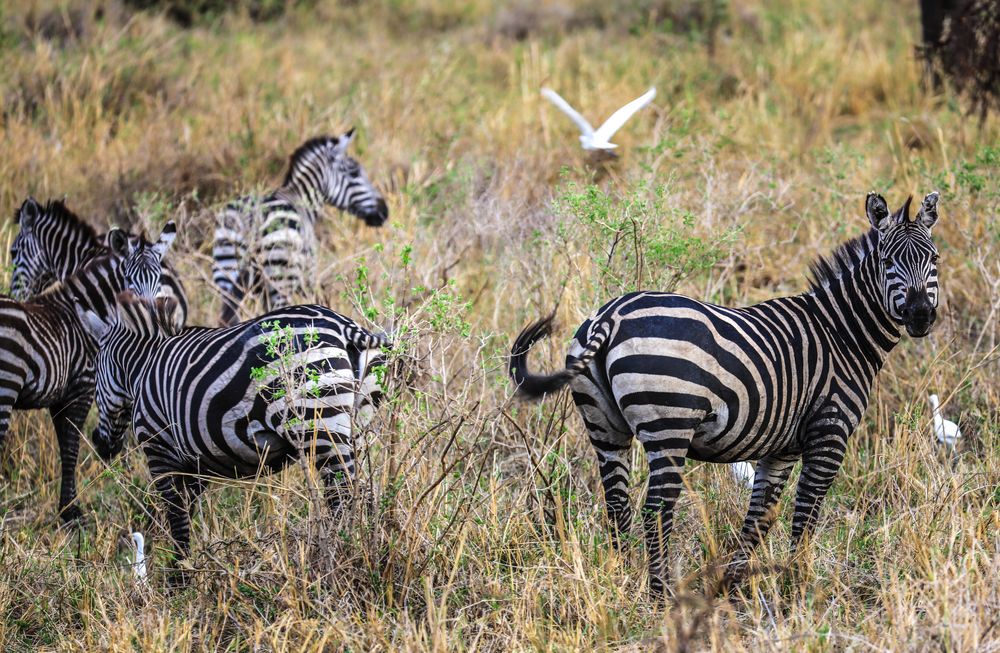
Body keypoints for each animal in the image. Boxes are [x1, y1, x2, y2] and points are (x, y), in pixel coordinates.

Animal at [0, 201, 176, 524]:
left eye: (159, 278)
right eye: (128, 280)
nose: (151, 319)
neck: (81, 312)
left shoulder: (67, 395)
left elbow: (69, 447)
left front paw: (69, 508)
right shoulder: (80, 389)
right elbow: (71, 449)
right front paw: (72, 512)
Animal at [78, 290, 388, 560]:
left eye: (95, 377)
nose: (100, 445)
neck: (142, 370)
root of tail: (344, 326)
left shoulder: (160, 450)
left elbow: (177, 519)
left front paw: (177, 579)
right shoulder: (193, 462)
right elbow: (187, 514)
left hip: (319, 423)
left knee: (342, 498)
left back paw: (336, 555)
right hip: (356, 427)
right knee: (363, 494)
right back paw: (363, 550)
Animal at [213, 129, 388, 326]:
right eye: (354, 173)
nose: (384, 212)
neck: (300, 198)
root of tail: (251, 218)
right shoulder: (308, 275)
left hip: (225, 272)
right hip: (280, 279)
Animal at [512, 190, 940, 596]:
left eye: (934, 259)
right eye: (887, 262)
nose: (921, 316)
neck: (841, 335)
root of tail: (610, 316)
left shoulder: (781, 447)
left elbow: (760, 518)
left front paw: (732, 585)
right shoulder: (829, 434)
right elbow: (805, 514)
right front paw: (798, 586)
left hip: (604, 427)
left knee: (617, 505)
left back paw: (620, 583)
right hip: (669, 426)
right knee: (656, 510)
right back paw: (659, 597)